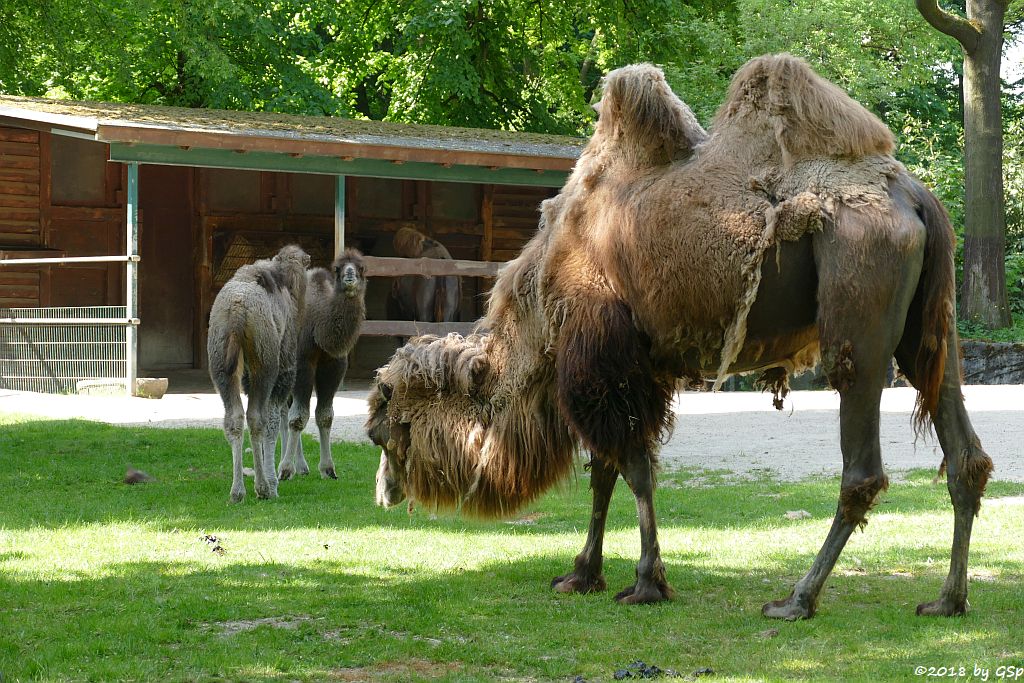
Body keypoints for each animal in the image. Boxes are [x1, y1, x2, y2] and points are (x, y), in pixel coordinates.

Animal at [366, 54, 991, 618]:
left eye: (384, 431)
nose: (383, 493)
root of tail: (917, 198)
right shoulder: (634, 366)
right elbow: (608, 470)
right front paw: (581, 574)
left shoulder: (605, 362)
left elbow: (634, 469)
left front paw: (645, 583)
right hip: (929, 330)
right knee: (962, 449)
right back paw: (947, 600)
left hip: (857, 304)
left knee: (861, 459)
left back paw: (796, 599)